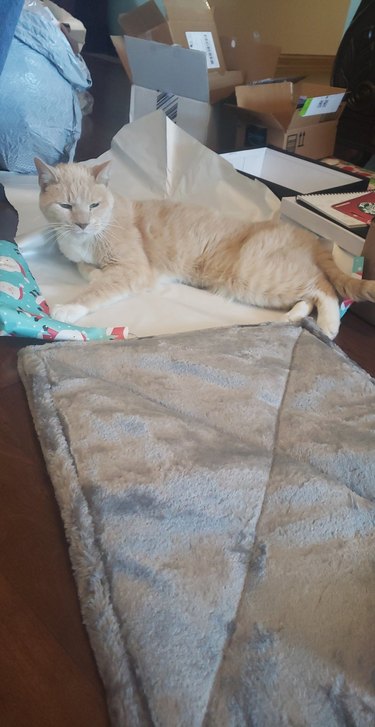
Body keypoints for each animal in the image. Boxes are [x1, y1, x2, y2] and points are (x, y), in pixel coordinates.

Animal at [34, 156, 375, 338]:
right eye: (66, 206)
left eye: (94, 205)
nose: (82, 223)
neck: (88, 235)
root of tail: (308, 237)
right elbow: (86, 268)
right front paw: (94, 272)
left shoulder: (134, 269)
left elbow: (98, 288)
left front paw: (68, 307)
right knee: (310, 294)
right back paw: (293, 317)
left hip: (254, 274)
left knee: (324, 287)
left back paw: (328, 325)